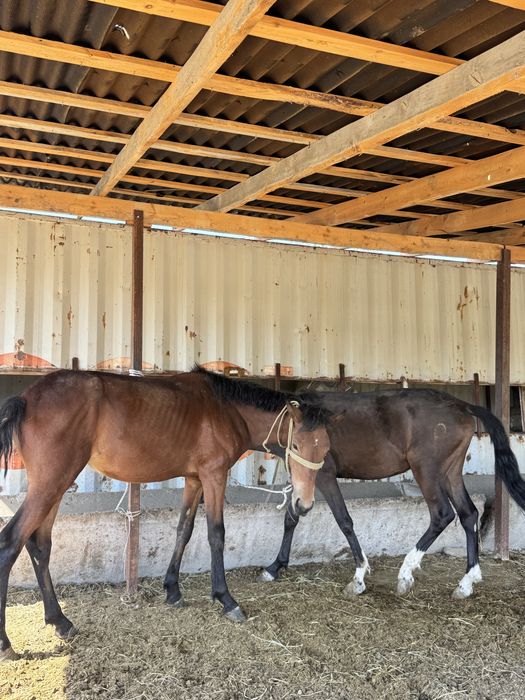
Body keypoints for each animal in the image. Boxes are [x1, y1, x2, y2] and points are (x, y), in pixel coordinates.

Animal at [0, 367, 333, 661]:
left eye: (326, 449)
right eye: (296, 444)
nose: (304, 504)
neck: (226, 409)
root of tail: (27, 398)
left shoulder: (194, 479)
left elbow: (183, 530)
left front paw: (172, 590)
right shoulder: (214, 476)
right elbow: (216, 534)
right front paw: (225, 599)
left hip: (55, 486)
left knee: (39, 546)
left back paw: (60, 621)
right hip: (51, 483)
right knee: (10, 543)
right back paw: (6, 643)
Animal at [259, 388, 525, 599]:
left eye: (323, 448)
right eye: (296, 446)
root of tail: (462, 405)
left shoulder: (323, 477)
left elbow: (343, 520)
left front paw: (358, 578)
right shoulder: (301, 480)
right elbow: (291, 517)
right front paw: (274, 567)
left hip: (427, 471)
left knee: (442, 515)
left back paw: (406, 572)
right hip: (451, 471)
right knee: (468, 514)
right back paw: (466, 582)